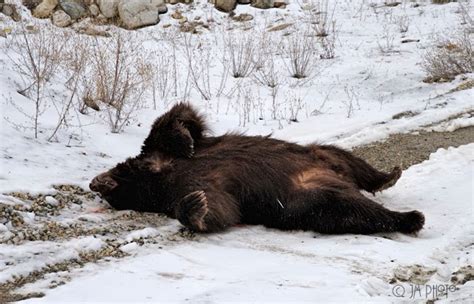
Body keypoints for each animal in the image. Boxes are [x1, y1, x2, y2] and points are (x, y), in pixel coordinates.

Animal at [90, 104, 426, 235]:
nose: (95, 182)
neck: (153, 178)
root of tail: (338, 176)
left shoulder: (163, 157)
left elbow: (174, 122)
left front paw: (184, 138)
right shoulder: (180, 188)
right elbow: (219, 205)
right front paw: (196, 205)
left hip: (318, 154)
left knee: (346, 156)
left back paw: (387, 175)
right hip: (305, 197)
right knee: (349, 210)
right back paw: (410, 217)